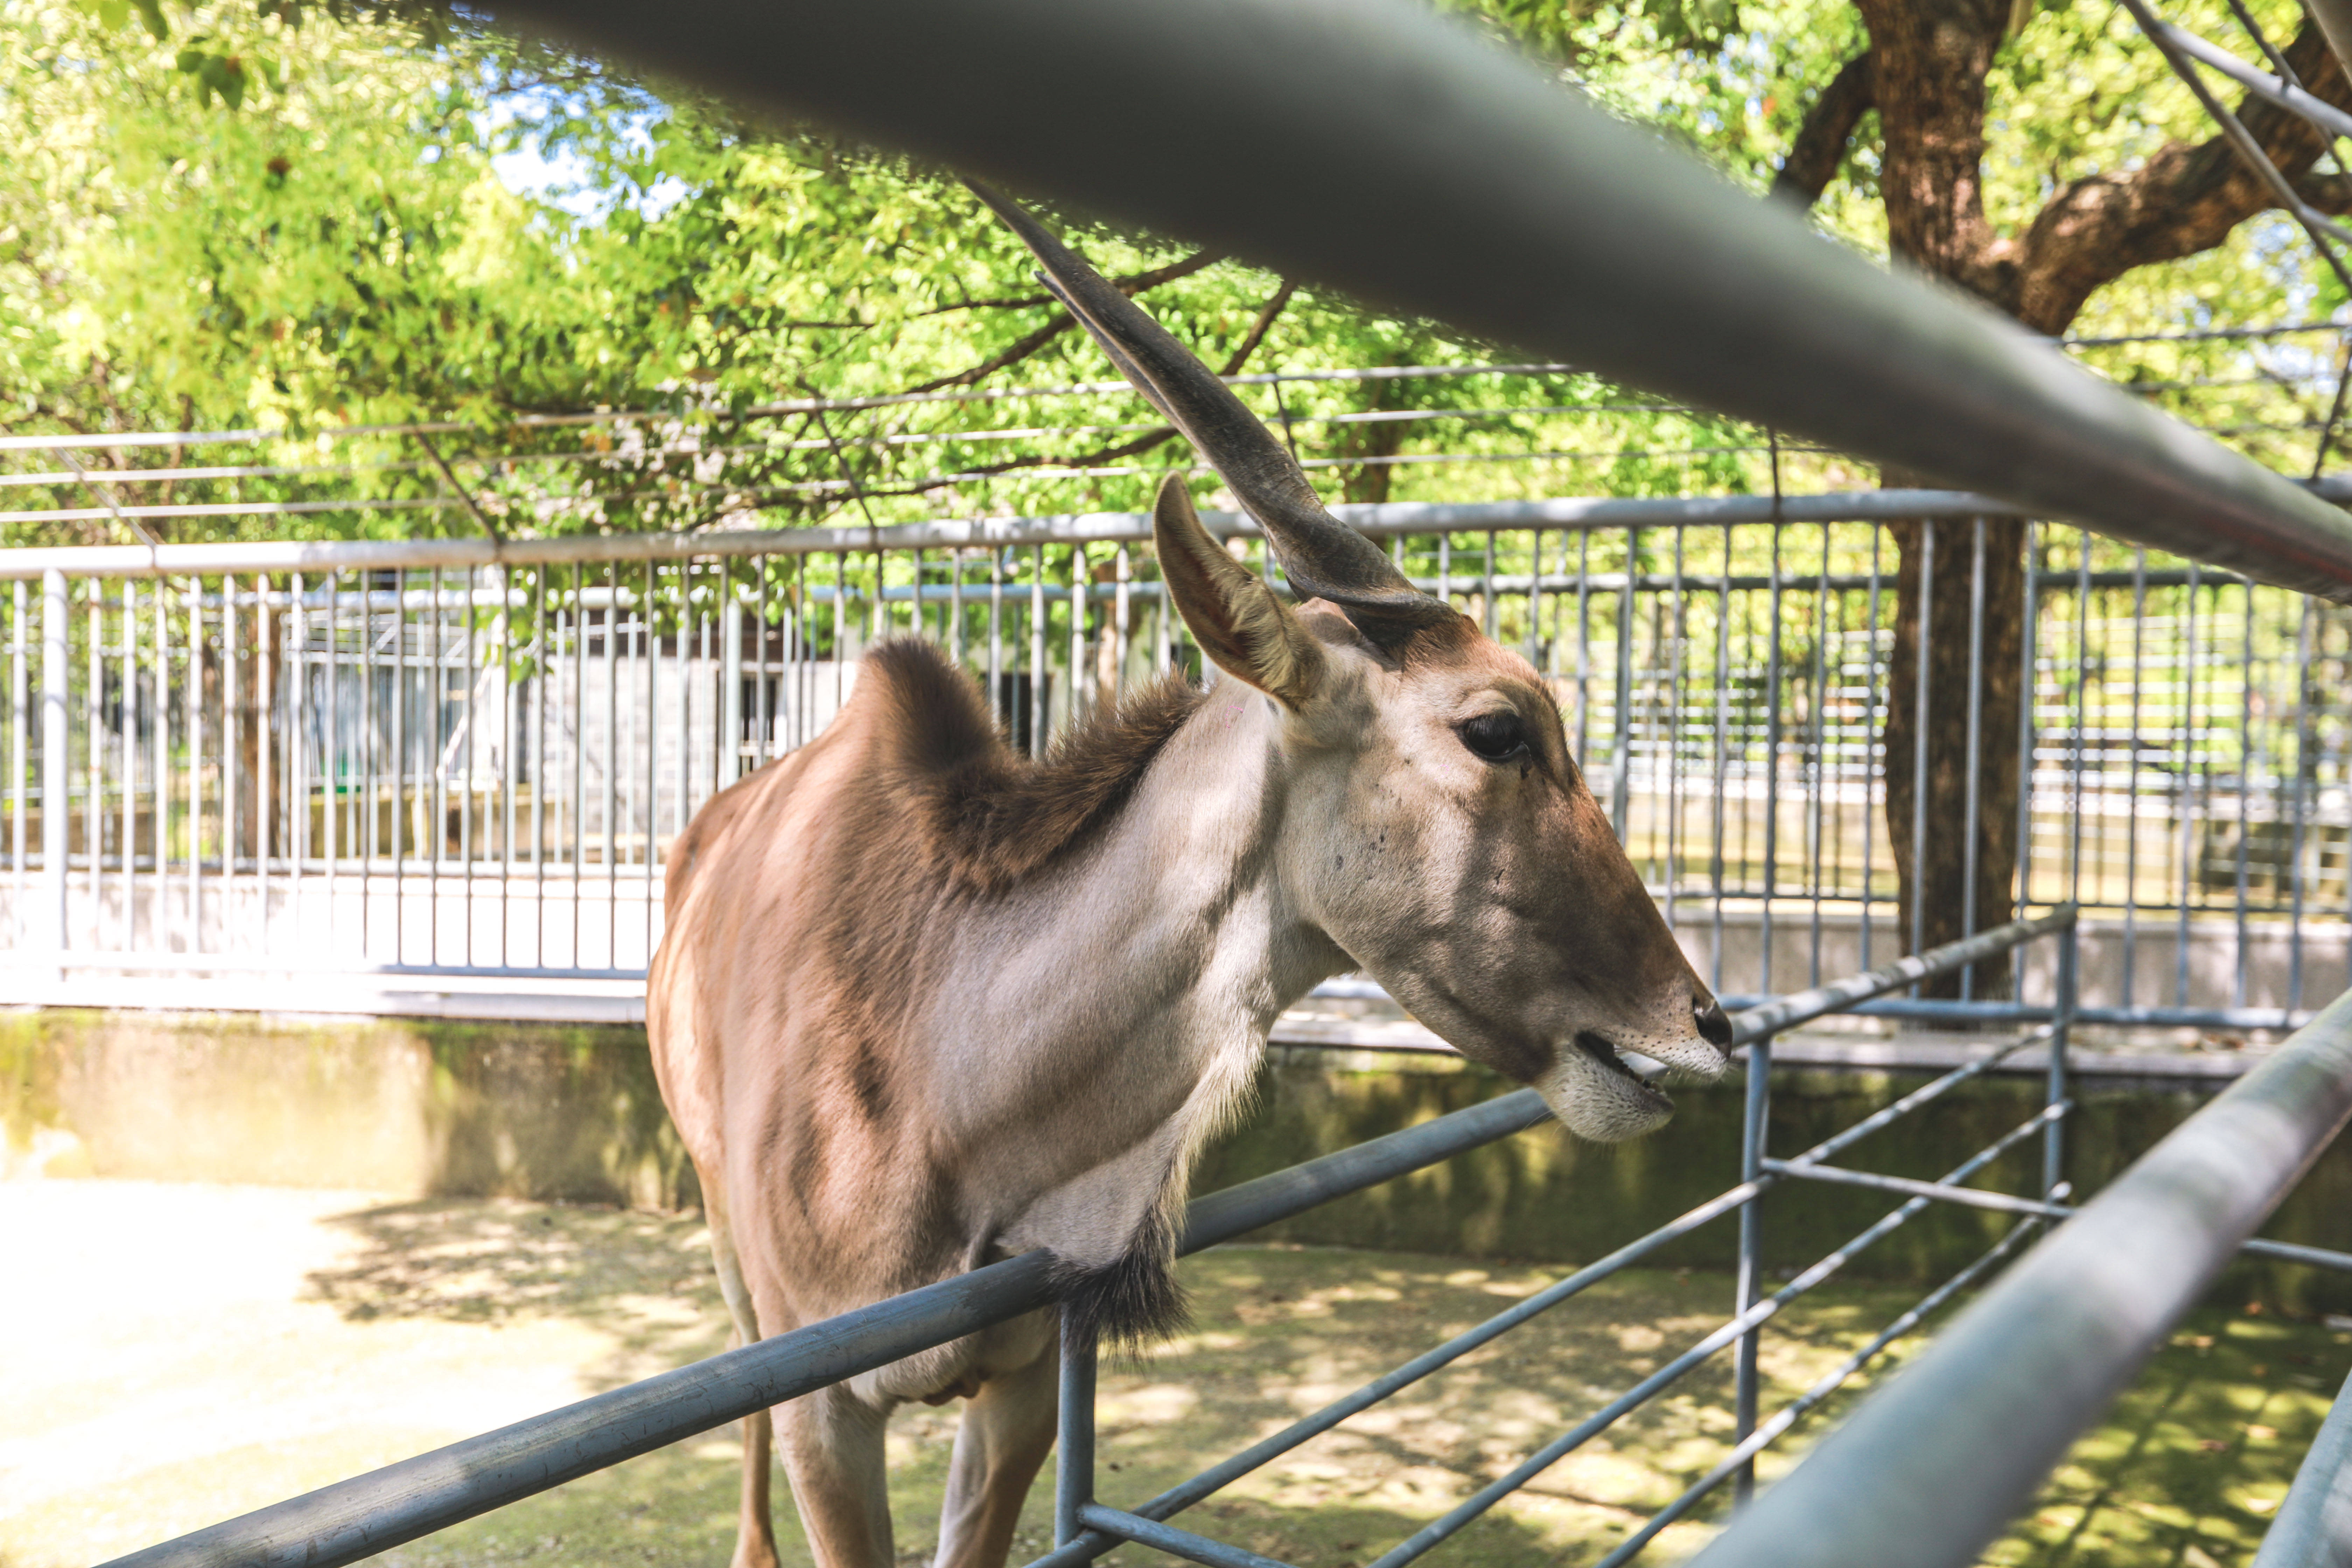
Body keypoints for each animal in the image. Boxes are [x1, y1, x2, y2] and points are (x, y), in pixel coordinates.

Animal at [644, 192, 1731, 1568]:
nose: (1704, 1024)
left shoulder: (1019, 1388)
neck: (938, 1080)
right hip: (725, 1248)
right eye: (1497, 730)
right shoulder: (826, 1410)